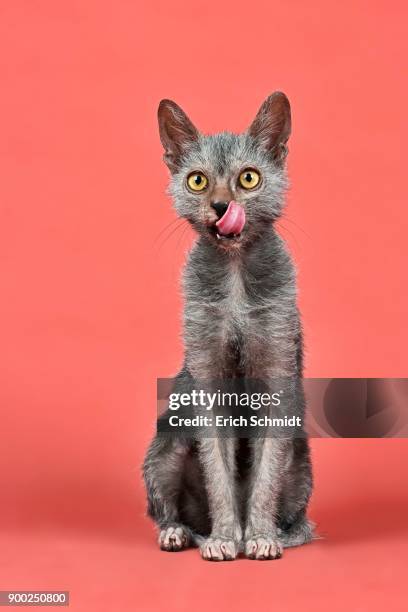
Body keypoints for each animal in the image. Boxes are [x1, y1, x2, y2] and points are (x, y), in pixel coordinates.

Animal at [142, 92, 314, 560]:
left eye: (249, 179)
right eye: (197, 181)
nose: (221, 206)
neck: (235, 274)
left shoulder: (276, 376)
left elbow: (265, 474)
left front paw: (259, 537)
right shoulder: (206, 377)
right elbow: (217, 470)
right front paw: (223, 539)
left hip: (301, 462)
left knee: (298, 517)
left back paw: (277, 533)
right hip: (166, 444)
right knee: (167, 509)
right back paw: (181, 534)